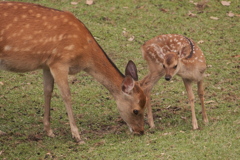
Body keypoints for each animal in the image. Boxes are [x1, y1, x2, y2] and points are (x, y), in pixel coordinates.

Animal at [0, 1, 146, 142]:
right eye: (136, 110)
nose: (141, 131)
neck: (85, 53)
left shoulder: (47, 64)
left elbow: (48, 91)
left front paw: (49, 131)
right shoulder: (60, 62)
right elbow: (66, 95)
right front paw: (77, 135)